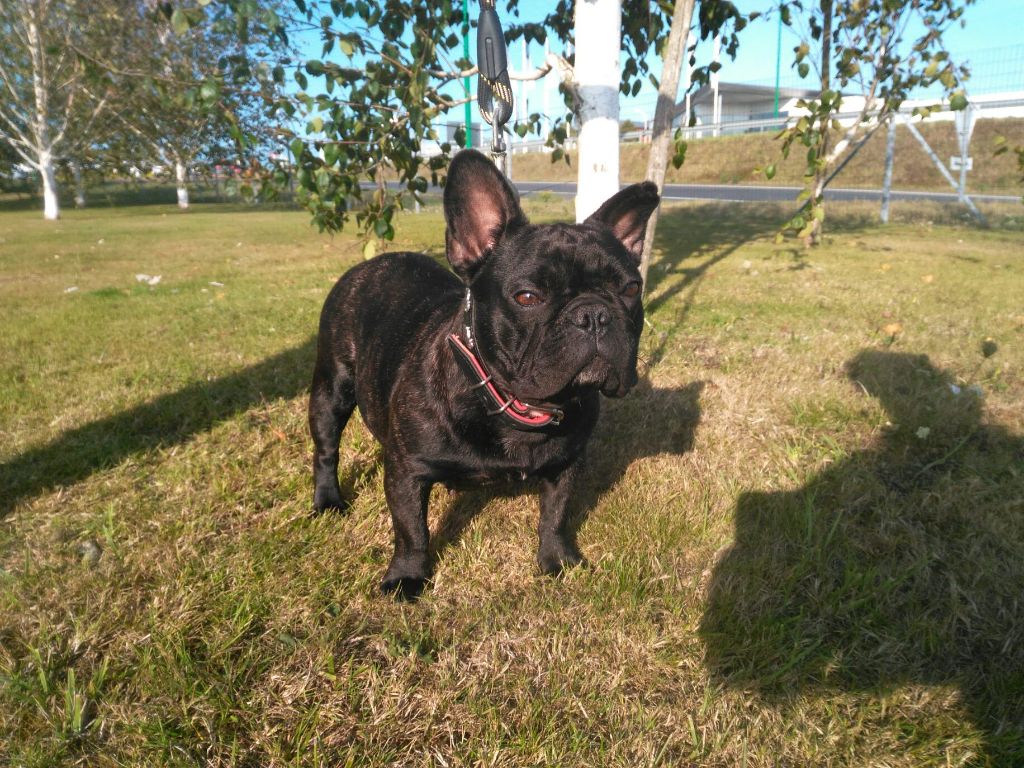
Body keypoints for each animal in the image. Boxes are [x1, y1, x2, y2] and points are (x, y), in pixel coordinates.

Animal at [309, 149, 660, 597]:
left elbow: (556, 515)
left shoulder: (567, 465)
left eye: (631, 289)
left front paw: (557, 560)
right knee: (326, 449)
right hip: (330, 390)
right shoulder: (407, 471)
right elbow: (411, 529)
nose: (593, 314)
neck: (517, 405)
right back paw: (328, 501)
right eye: (527, 297)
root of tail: (373, 262)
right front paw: (406, 576)